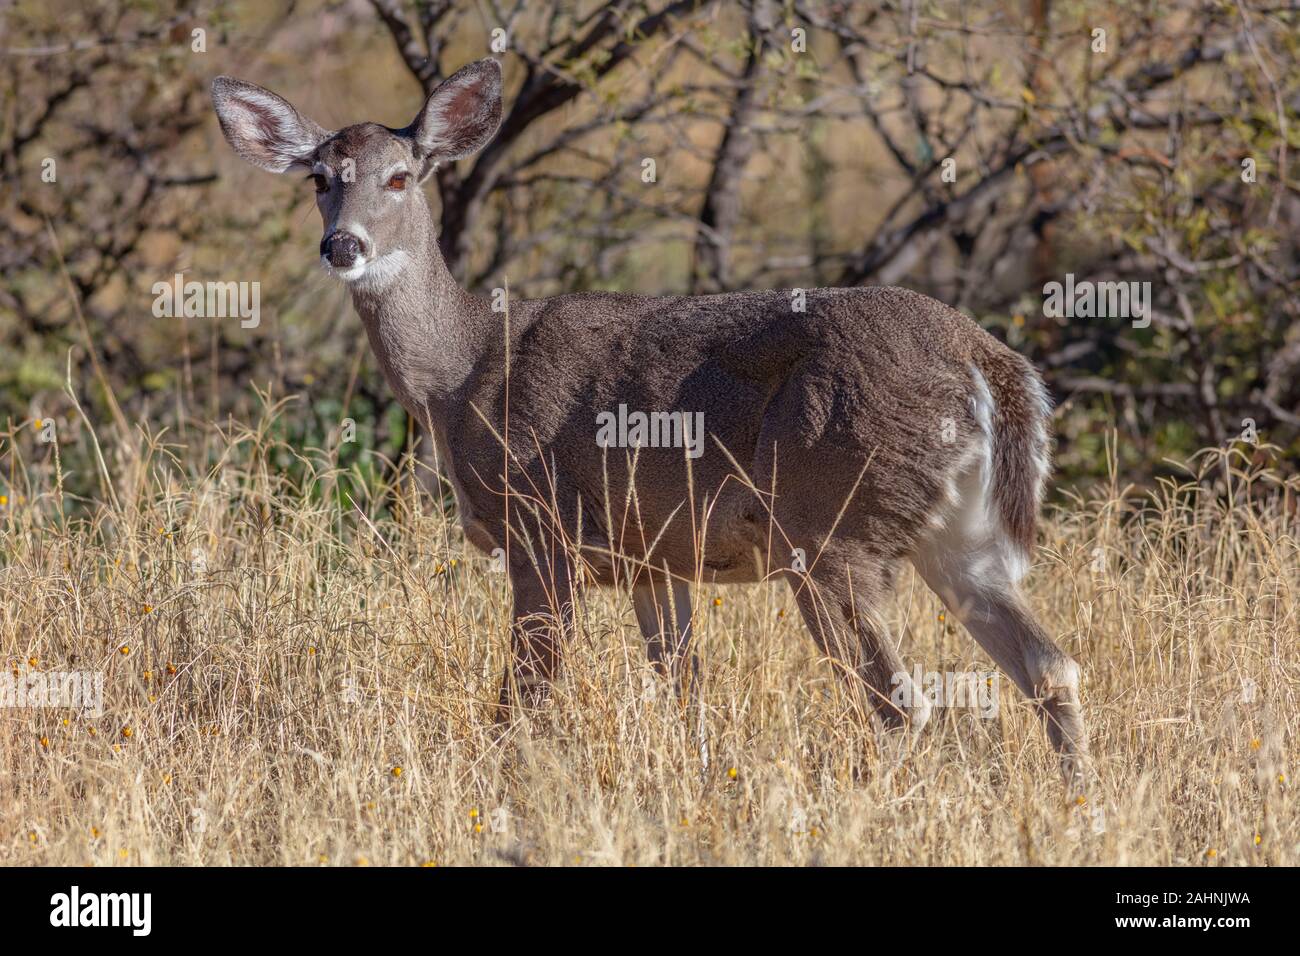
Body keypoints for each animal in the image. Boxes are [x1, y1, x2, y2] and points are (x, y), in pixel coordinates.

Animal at [210, 57, 1086, 785]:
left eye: (398, 178)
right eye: (320, 177)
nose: (342, 245)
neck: (461, 376)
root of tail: (984, 360)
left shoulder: (544, 530)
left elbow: (522, 699)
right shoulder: (654, 560)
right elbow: (685, 691)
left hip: (829, 523)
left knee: (901, 698)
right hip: (958, 534)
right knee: (1050, 666)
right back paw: (1081, 803)